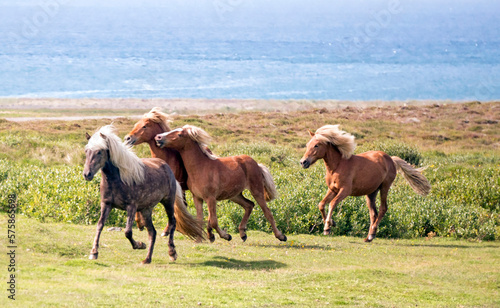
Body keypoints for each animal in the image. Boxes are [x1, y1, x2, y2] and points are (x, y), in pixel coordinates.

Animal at [84, 124, 205, 264]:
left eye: (99, 151)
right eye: (86, 151)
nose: (87, 174)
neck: (118, 178)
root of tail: (166, 167)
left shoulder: (131, 206)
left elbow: (127, 232)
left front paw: (139, 245)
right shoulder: (106, 204)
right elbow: (99, 226)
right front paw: (94, 252)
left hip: (168, 202)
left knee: (172, 222)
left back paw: (172, 253)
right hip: (146, 210)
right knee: (152, 232)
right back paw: (147, 259)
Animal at [154, 124, 288, 243]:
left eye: (180, 134)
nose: (158, 137)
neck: (200, 168)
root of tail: (257, 164)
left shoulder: (211, 198)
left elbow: (213, 221)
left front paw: (226, 236)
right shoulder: (197, 198)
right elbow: (201, 219)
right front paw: (199, 240)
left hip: (257, 190)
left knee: (267, 211)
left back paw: (281, 236)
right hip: (235, 195)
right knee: (249, 205)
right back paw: (243, 234)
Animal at [298, 124, 432, 242]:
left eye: (316, 145)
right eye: (307, 144)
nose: (303, 162)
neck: (337, 166)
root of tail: (391, 159)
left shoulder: (345, 191)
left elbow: (332, 204)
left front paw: (327, 228)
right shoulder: (332, 190)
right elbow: (321, 204)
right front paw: (332, 224)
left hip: (385, 187)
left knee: (383, 209)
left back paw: (372, 234)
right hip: (371, 193)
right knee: (373, 213)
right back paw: (369, 237)